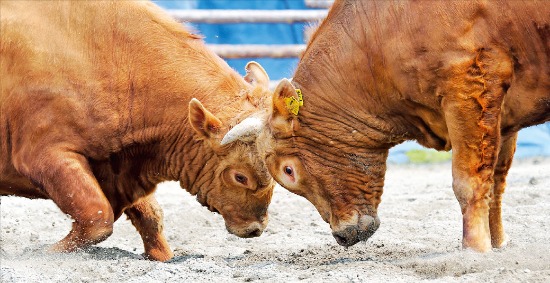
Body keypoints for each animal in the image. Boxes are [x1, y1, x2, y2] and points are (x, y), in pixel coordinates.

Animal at [0, 0, 276, 262]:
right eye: (240, 176)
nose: (256, 228)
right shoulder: (43, 156)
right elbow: (97, 217)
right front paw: (43, 253)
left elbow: (150, 216)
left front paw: (163, 256)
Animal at [231, 0, 548, 253]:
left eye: (288, 171)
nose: (343, 235)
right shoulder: (501, 115)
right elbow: (495, 180)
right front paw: (497, 244)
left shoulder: (469, 86)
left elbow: (469, 182)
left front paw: (474, 249)